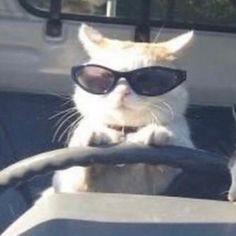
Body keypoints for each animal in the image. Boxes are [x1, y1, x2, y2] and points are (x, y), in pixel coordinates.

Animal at [51, 24, 194, 195]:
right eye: (102, 77)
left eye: (148, 79)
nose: (123, 90)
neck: (126, 132)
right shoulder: (68, 183)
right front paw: (95, 135)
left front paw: (157, 133)